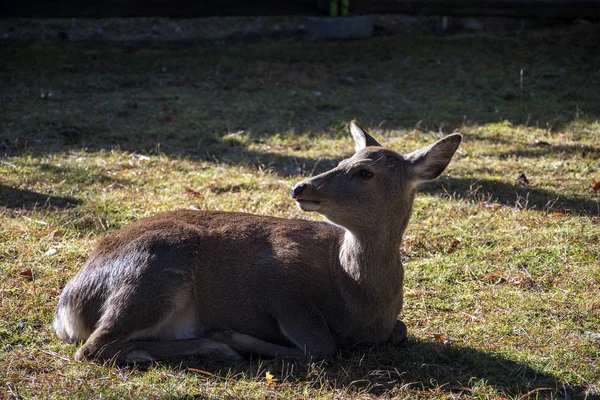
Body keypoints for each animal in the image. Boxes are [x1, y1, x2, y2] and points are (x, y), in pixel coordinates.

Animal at [54, 120, 462, 364]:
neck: (358, 300)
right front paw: (233, 336)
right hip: (154, 269)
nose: (301, 186)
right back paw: (211, 345)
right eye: (344, 159)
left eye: (365, 171)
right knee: (94, 347)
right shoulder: (280, 283)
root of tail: (67, 307)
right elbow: (321, 348)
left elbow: (400, 331)